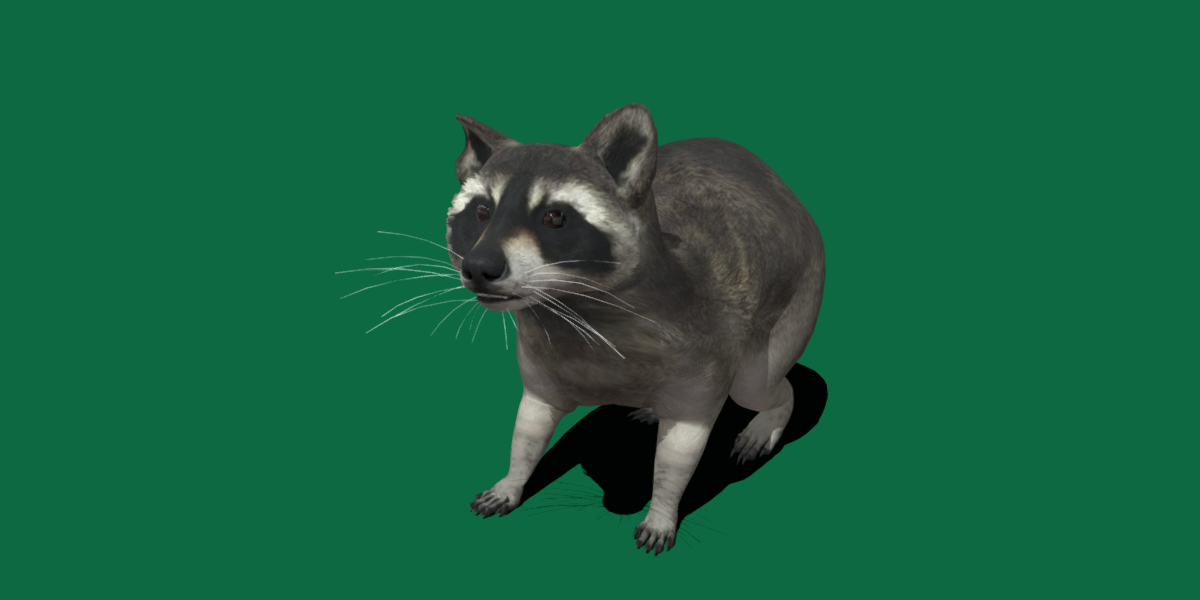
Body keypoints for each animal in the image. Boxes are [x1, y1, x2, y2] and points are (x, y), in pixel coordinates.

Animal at [456, 104, 824, 554]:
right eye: (481, 213)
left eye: (554, 217)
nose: (478, 267)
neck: (573, 308)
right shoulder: (542, 357)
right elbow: (531, 423)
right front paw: (513, 478)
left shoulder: (704, 348)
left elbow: (679, 451)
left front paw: (662, 508)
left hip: (799, 295)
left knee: (758, 385)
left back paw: (772, 412)